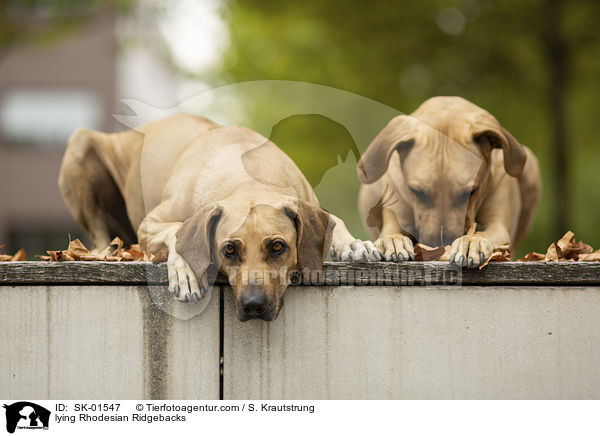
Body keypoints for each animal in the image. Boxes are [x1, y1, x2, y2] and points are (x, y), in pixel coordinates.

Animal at [61, 114, 380, 322]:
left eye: (278, 247)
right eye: (229, 250)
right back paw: (100, 252)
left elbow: (335, 221)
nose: (253, 305)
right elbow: (177, 230)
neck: (247, 176)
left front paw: (354, 244)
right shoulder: (149, 225)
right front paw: (186, 271)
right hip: (81, 143)